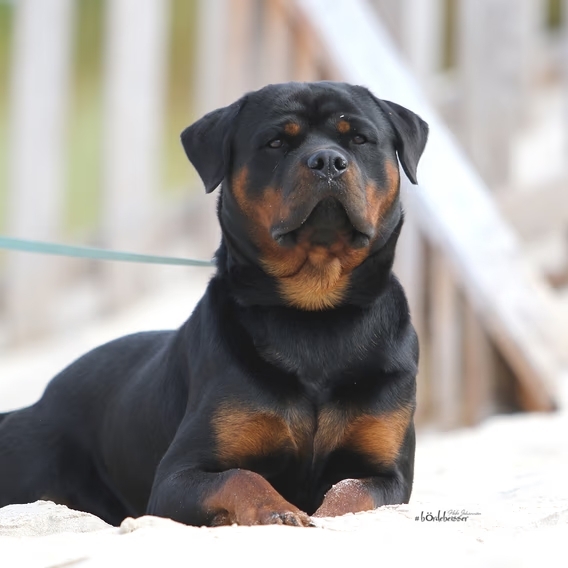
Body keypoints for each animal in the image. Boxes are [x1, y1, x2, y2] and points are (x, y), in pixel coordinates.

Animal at [0, 82, 428, 527]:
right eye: (276, 142)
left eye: (359, 138)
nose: (327, 160)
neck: (314, 314)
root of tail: (34, 403)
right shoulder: (177, 475)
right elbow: (240, 476)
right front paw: (279, 510)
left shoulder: (388, 473)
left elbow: (350, 491)